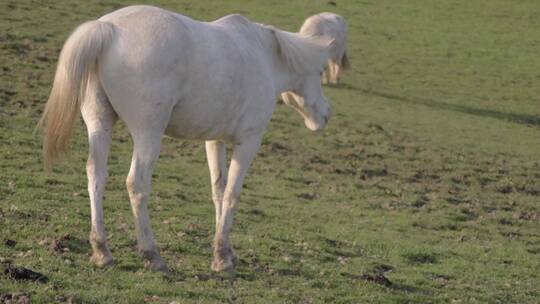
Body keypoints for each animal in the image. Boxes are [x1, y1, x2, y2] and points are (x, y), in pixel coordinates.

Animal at [38, 5, 332, 274]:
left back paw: (102, 251)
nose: (325, 115)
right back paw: (151, 255)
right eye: (320, 73)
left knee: (96, 175)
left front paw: (226, 250)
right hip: (148, 134)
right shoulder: (248, 142)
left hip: (100, 124)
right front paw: (222, 258)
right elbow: (232, 194)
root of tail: (108, 29)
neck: (262, 55)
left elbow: (218, 190)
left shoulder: (215, 141)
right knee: (136, 184)